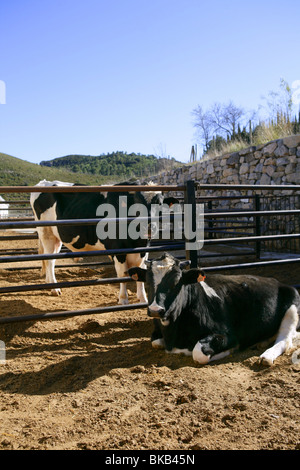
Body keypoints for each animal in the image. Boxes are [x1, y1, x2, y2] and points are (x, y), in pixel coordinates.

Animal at [29, 180, 177, 304]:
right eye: (136, 204)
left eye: (160, 205)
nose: (150, 226)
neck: (137, 241)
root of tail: (44, 182)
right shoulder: (118, 249)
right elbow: (122, 274)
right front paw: (123, 299)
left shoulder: (143, 250)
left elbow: (140, 271)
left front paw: (143, 298)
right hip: (46, 233)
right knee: (49, 260)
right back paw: (54, 288)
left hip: (56, 237)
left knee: (51, 259)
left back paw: (50, 283)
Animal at [128, 253, 300, 368]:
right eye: (147, 282)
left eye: (177, 282)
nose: (155, 310)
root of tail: (277, 281)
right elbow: (155, 342)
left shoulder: (228, 335)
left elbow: (198, 352)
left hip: (293, 307)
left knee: (285, 339)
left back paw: (266, 356)